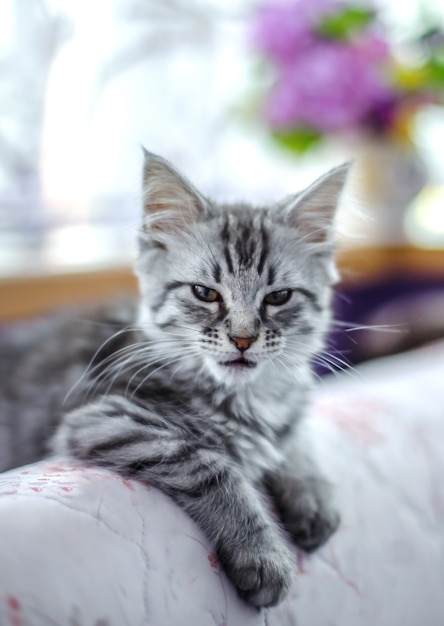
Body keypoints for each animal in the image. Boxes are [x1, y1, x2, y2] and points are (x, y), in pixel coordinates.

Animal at [0, 151, 350, 604]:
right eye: (205, 294)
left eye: (278, 297)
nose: (242, 339)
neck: (250, 397)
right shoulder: (105, 419)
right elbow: (214, 467)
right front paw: (262, 553)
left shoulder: (287, 418)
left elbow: (294, 443)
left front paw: (312, 495)